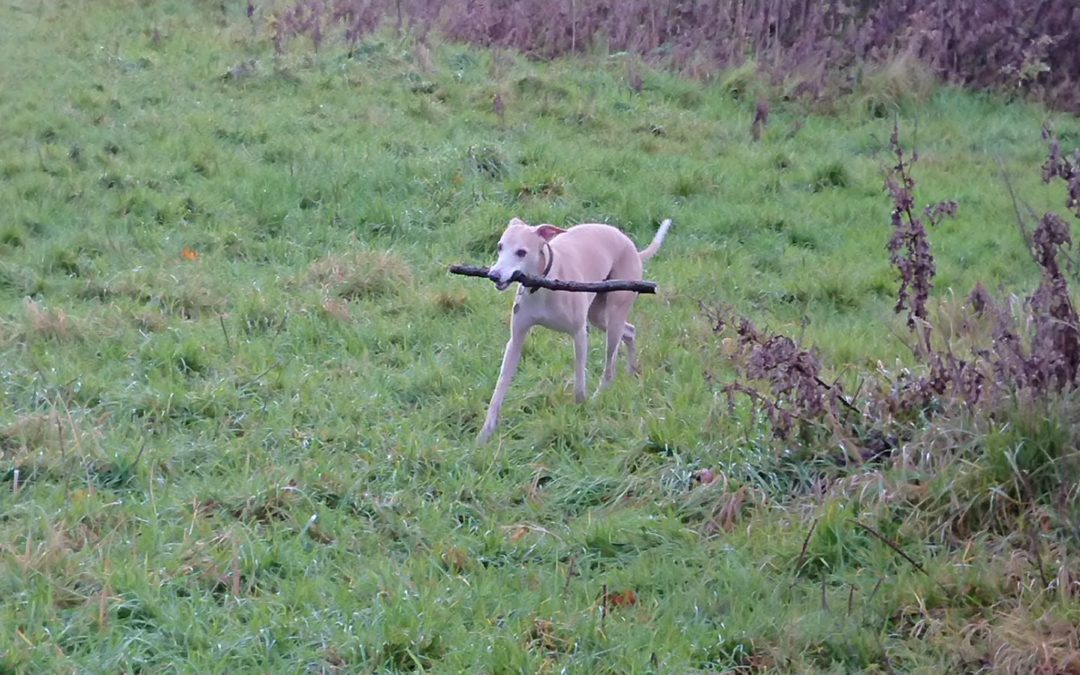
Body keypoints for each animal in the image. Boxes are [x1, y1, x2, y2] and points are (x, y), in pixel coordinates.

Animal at [477, 216, 669, 444]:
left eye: (521, 252)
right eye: (500, 247)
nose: (494, 275)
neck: (542, 284)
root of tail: (632, 248)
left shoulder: (579, 334)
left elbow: (579, 382)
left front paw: (581, 410)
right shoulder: (516, 340)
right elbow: (499, 388)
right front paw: (485, 433)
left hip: (614, 314)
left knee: (610, 366)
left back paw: (599, 396)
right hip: (598, 315)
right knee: (630, 331)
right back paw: (631, 372)